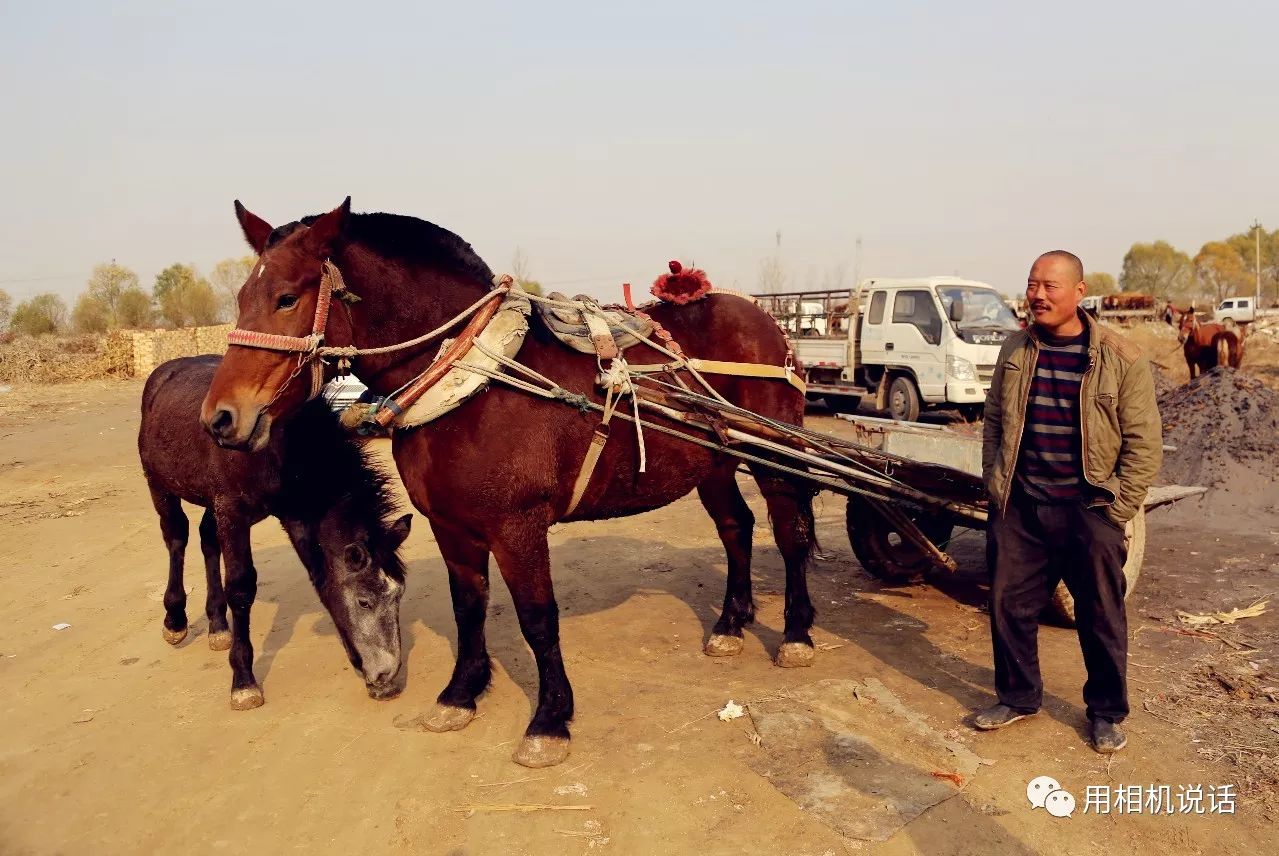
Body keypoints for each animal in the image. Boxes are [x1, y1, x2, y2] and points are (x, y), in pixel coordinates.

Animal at [140, 353, 411, 706]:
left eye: (398, 594)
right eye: (364, 601)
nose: (386, 676)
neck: (285, 446)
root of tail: (164, 372)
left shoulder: (296, 516)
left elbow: (321, 578)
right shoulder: (233, 513)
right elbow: (241, 588)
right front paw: (243, 681)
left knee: (207, 541)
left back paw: (217, 626)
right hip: (159, 486)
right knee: (176, 538)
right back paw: (175, 621)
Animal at [199, 200, 818, 767]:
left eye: (287, 297)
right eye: (241, 299)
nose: (220, 418)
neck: (476, 383)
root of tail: (765, 322)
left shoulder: (518, 527)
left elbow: (538, 619)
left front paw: (550, 720)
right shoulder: (450, 526)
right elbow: (468, 608)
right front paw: (460, 694)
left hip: (774, 461)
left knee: (788, 537)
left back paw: (795, 635)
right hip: (714, 464)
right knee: (737, 528)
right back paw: (731, 623)